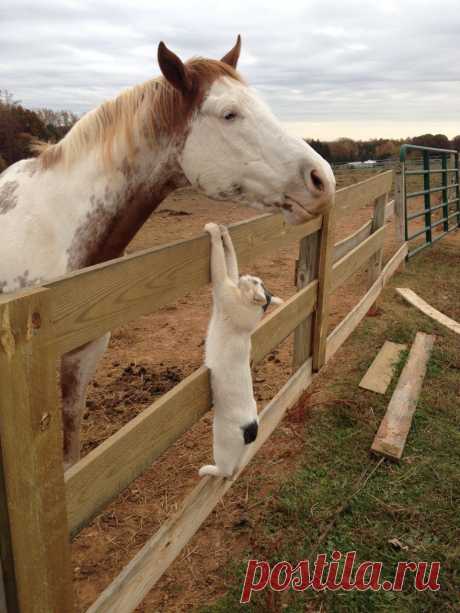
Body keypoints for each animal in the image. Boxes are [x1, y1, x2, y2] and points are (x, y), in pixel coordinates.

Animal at [199, 224, 282, 478]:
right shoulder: (229, 283)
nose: (247, 276)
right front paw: (225, 232)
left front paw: (213, 231)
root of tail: (252, 429)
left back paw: (208, 470)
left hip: (220, 441)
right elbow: (231, 260)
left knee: (225, 471)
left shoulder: (222, 287)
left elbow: (219, 263)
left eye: (255, 281)